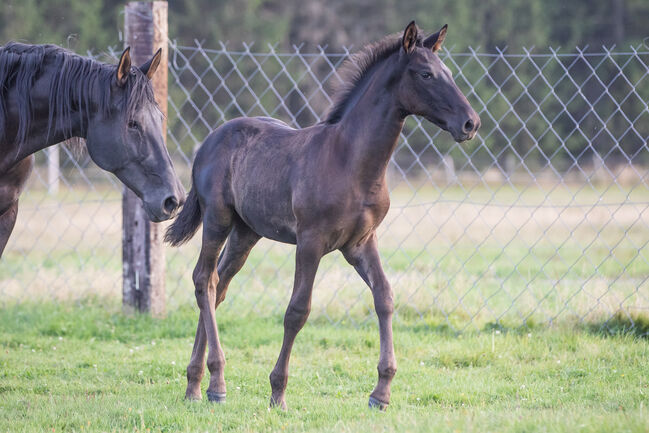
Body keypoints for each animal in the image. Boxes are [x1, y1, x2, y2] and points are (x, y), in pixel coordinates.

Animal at [167, 22, 478, 410]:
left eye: (447, 71)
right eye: (426, 74)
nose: (470, 123)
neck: (351, 162)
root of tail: (208, 142)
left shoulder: (361, 243)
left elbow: (384, 297)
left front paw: (381, 391)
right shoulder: (310, 243)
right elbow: (297, 311)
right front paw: (278, 392)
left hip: (246, 232)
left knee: (218, 285)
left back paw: (199, 385)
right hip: (218, 219)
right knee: (203, 280)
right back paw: (215, 381)